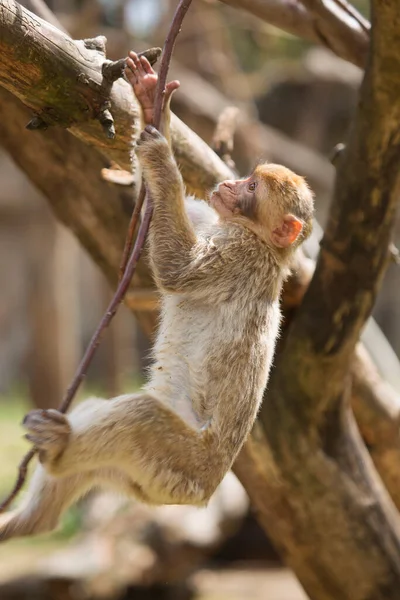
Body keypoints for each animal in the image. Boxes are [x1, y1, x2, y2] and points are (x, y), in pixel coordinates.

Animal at [0, 52, 314, 540]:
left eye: (252, 188)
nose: (229, 184)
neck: (260, 240)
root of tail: (203, 492)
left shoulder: (237, 256)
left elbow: (177, 270)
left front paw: (161, 157)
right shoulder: (218, 225)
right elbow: (166, 201)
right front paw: (154, 108)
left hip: (174, 464)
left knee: (139, 419)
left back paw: (58, 450)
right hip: (140, 479)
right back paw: (31, 518)